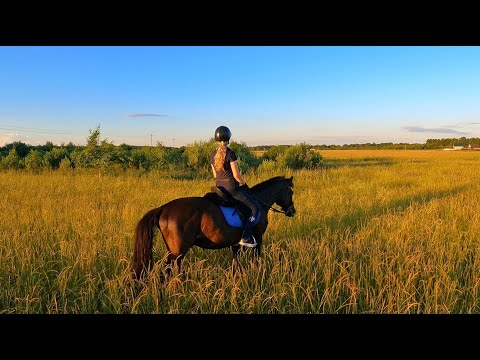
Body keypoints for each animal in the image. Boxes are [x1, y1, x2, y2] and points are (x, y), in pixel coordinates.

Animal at [132, 176, 296, 280]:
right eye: (291, 192)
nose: (292, 211)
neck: (260, 201)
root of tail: (163, 208)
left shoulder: (237, 244)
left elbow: (235, 263)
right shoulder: (258, 239)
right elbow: (256, 260)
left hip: (174, 253)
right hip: (177, 253)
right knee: (166, 273)